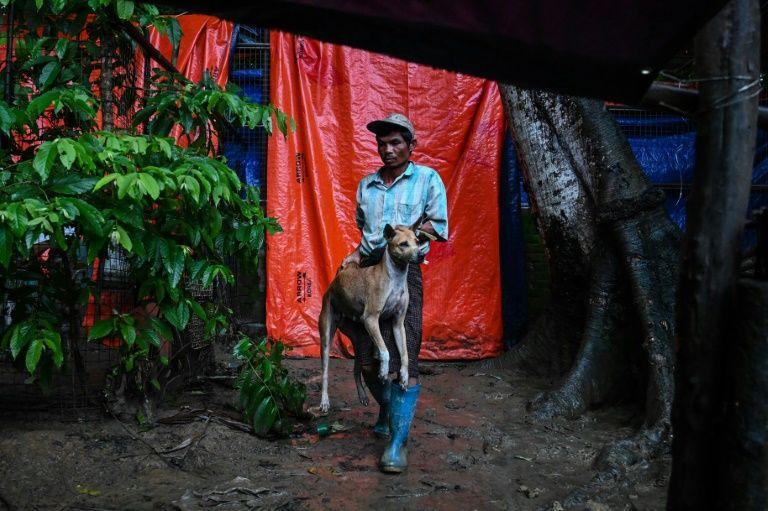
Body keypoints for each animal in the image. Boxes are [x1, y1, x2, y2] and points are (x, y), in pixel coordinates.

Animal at [318, 225, 420, 416]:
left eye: (418, 242)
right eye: (403, 244)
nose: (421, 255)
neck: (395, 279)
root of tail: (335, 281)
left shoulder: (398, 324)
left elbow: (404, 354)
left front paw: (404, 376)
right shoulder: (371, 319)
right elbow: (386, 351)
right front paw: (383, 371)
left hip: (359, 342)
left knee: (356, 369)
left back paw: (362, 395)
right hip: (327, 338)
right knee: (325, 374)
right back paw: (325, 402)